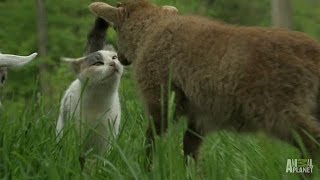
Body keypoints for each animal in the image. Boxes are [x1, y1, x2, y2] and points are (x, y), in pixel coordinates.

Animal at [89, 0, 320, 163]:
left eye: (116, 28)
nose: (121, 58)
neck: (150, 31)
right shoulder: (200, 115)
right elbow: (190, 148)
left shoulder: (160, 98)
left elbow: (152, 140)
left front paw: (146, 168)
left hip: (283, 111)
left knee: (313, 142)